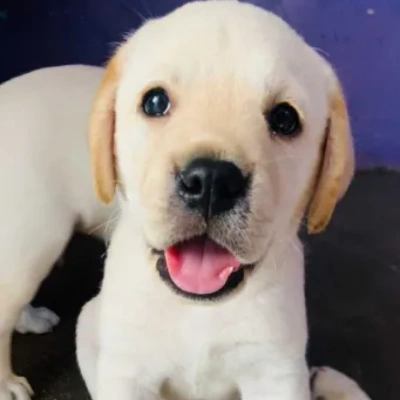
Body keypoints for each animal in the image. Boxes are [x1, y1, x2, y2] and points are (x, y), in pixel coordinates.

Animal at [76, 1, 370, 398]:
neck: (198, 309)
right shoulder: (127, 369)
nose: (212, 182)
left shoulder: (276, 370)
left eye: (285, 118)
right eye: (155, 101)